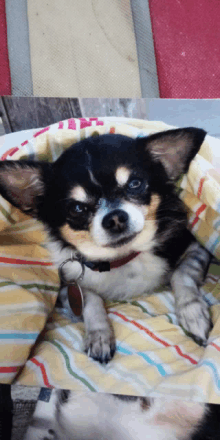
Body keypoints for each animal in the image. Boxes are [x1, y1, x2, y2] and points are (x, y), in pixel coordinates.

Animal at [0, 129, 213, 362]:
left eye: (135, 184)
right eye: (77, 208)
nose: (115, 218)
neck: (122, 258)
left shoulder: (195, 248)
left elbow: (181, 274)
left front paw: (192, 313)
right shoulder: (66, 284)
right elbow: (90, 298)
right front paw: (99, 335)